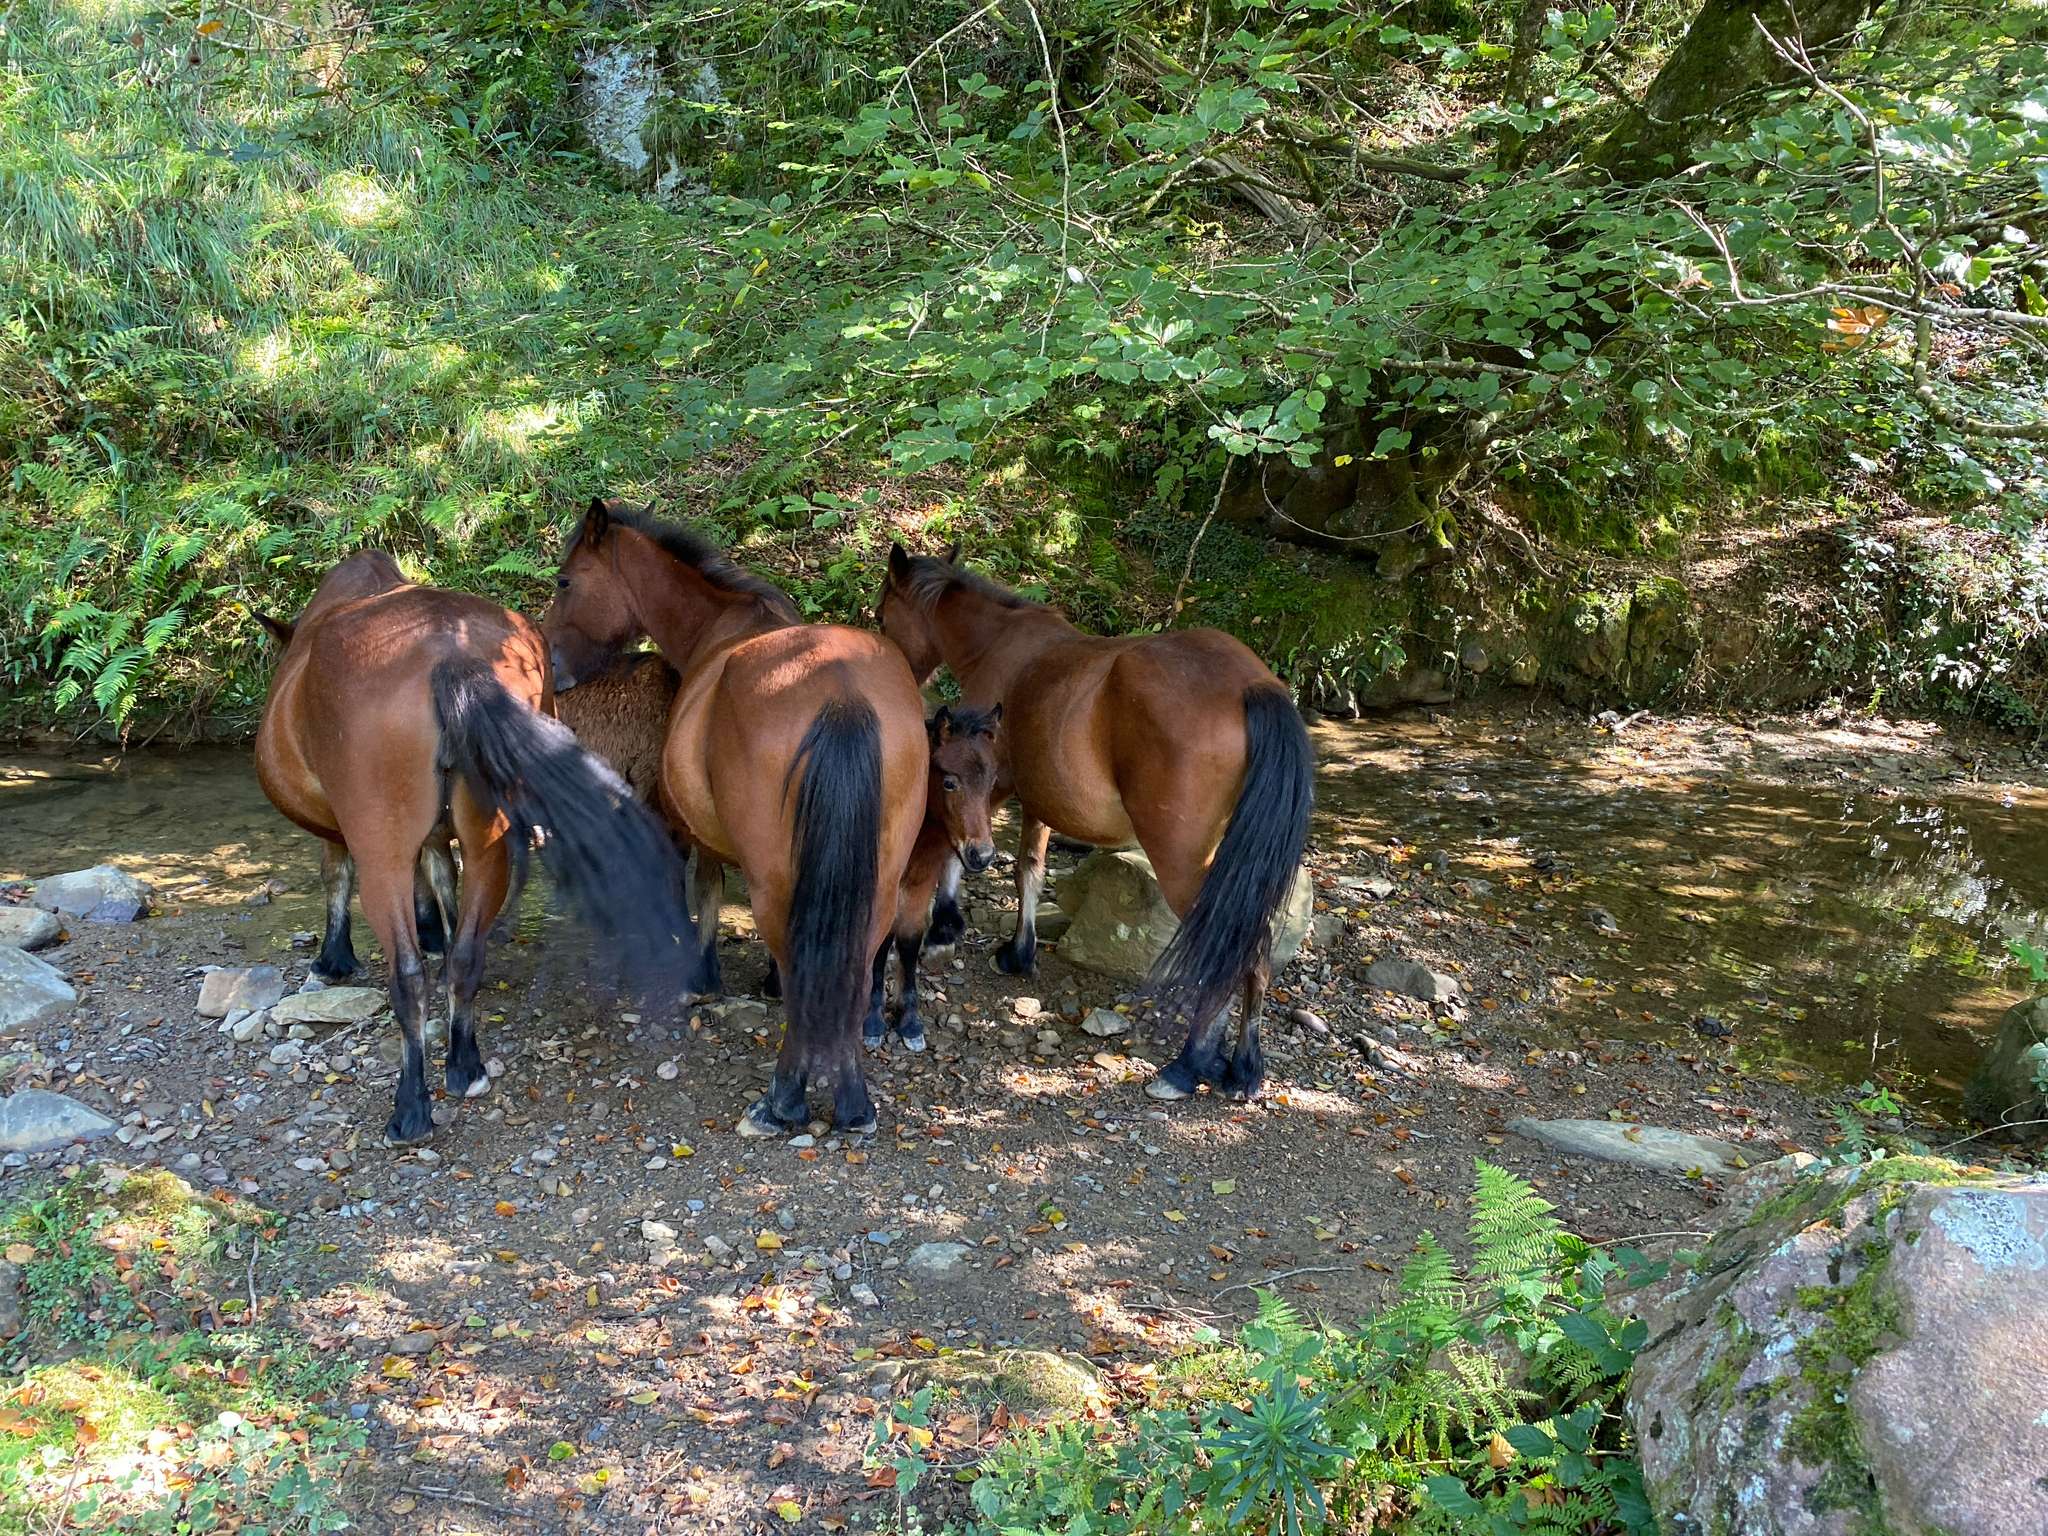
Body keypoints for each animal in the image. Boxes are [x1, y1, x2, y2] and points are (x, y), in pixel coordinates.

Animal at [254, 549, 691, 1143]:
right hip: (490, 842)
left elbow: (339, 876)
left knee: (406, 976)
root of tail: (451, 656)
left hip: (383, 848)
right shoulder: (445, 837)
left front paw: (334, 957)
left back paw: (411, 1105)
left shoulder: (346, 834)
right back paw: (465, 1063)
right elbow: (442, 879)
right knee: (469, 955)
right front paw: (436, 928)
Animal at [543, 499, 928, 1137]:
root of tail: (841, 694)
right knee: (856, 965)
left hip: (776, 880)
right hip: (880, 880)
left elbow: (704, 892)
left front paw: (703, 975)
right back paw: (853, 1101)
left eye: (565, 581)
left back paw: (784, 1099)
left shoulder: (695, 831)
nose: (551, 669)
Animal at [862, 703, 1002, 1053]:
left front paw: (909, 1020)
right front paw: (872, 1019)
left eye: (992, 781)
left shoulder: (921, 882)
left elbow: (909, 940)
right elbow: (882, 941)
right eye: (949, 783)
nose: (982, 855)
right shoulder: (887, 884)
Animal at [876, 544, 1313, 1102]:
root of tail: (1252, 684)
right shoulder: (1038, 801)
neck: (1001, 642)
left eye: (882, 616)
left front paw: (945, 927)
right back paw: (1243, 1067)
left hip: (1183, 861)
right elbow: (1029, 870)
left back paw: (1188, 1065)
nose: (899, 687)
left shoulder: (991, 789)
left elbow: (964, 854)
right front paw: (1019, 953)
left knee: (1226, 950)